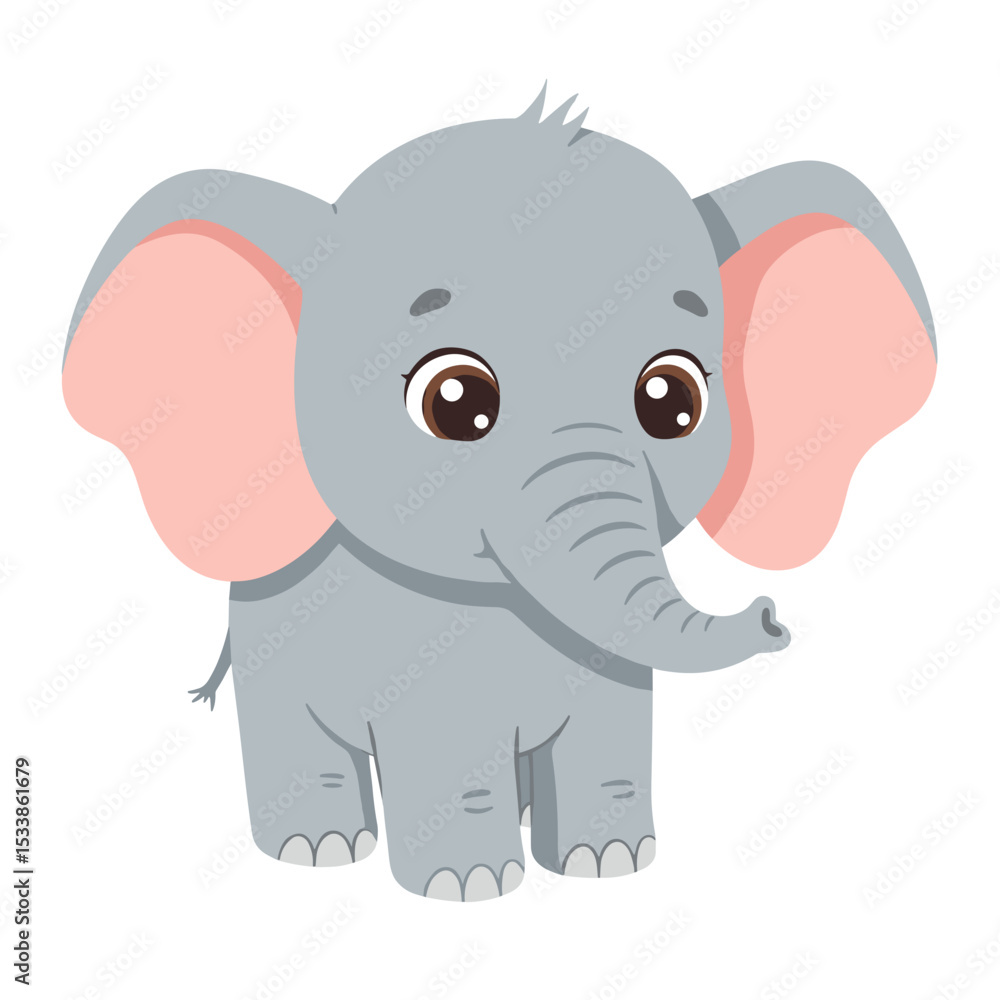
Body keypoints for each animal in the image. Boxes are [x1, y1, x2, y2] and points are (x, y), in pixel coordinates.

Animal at [61, 86, 937, 901]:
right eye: (455, 402)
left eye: (673, 401)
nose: (771, 615)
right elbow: (449, 749)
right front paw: (471, 885)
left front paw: (607, 865)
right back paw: (320, 849)